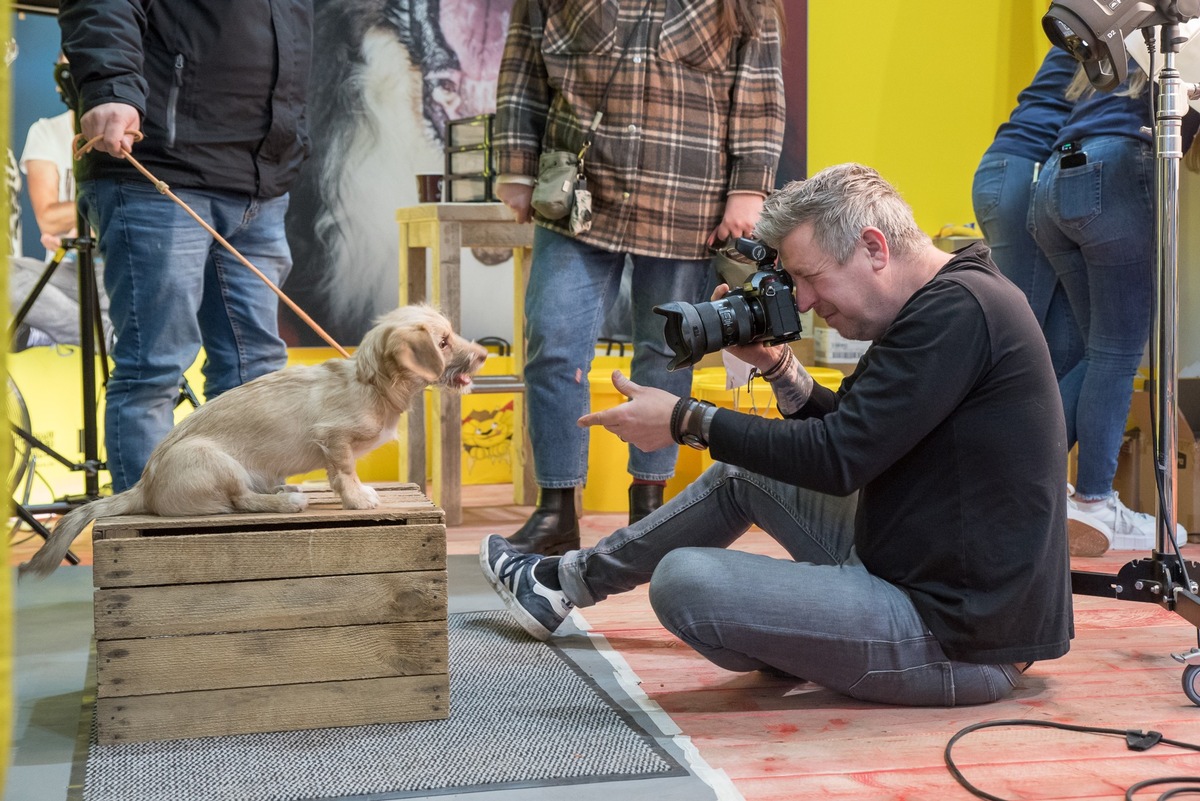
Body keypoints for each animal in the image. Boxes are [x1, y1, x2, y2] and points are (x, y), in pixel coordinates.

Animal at [21, 303, 487, 577]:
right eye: (443, 342)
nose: (484, 355)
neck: (369, 381)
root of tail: (143, 487)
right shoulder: (333, 439)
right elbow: (344, 472)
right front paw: (358, 499)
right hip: (215, 460)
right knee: (238, 502)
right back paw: (287, 501)